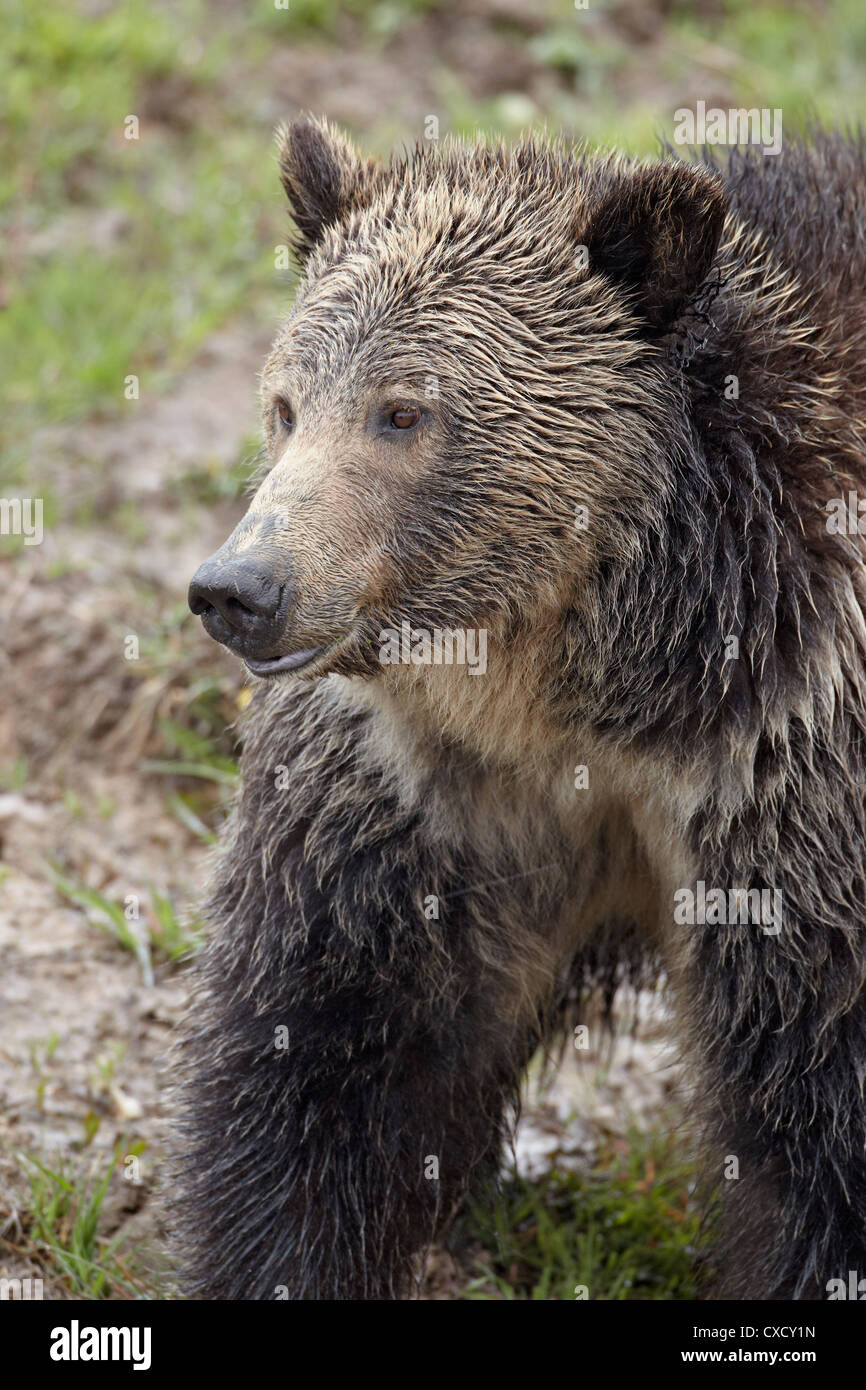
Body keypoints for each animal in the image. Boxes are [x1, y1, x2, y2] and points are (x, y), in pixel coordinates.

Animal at [177, 119, 866, 1301]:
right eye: (286, 404)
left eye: (404, 411)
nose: (242, 587)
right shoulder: (429, 787)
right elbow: (328, 1041)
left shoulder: (785, 770)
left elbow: (816, 1107)